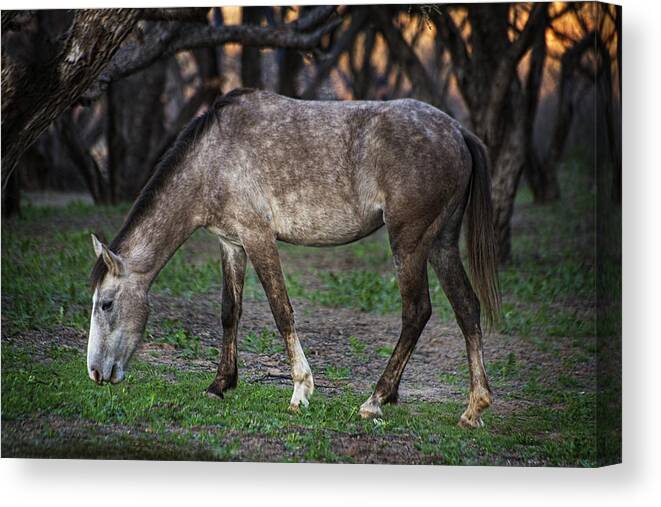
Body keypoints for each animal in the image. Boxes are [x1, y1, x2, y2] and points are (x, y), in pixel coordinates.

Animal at [89, 88, 500, 428]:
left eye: (106, 303)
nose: (94, 373)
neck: (213, 159)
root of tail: (457, 131)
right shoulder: (231, 243)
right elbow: (229, 311)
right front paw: (220, 384)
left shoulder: (258, 238)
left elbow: (280, 310)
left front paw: (301, 389)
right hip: (441, 243)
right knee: (466, 308)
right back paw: (473, 408)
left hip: (410, 242)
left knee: (416, 312)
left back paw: (375, 399)